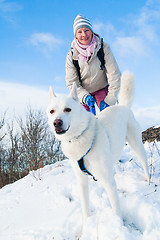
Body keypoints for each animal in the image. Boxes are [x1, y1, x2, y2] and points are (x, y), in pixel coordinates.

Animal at [46, 71, 150, 232]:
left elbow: (116, 209)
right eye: (52, 111)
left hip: (137, 144)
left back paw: (149, 181)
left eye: (67, 109)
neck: (79, 137)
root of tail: (123, 106)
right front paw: (85, 229)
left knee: (144, 163)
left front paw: (119, 228)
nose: (56, 122)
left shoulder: (108, 182)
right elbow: (85, 209)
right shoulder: (82, 181)